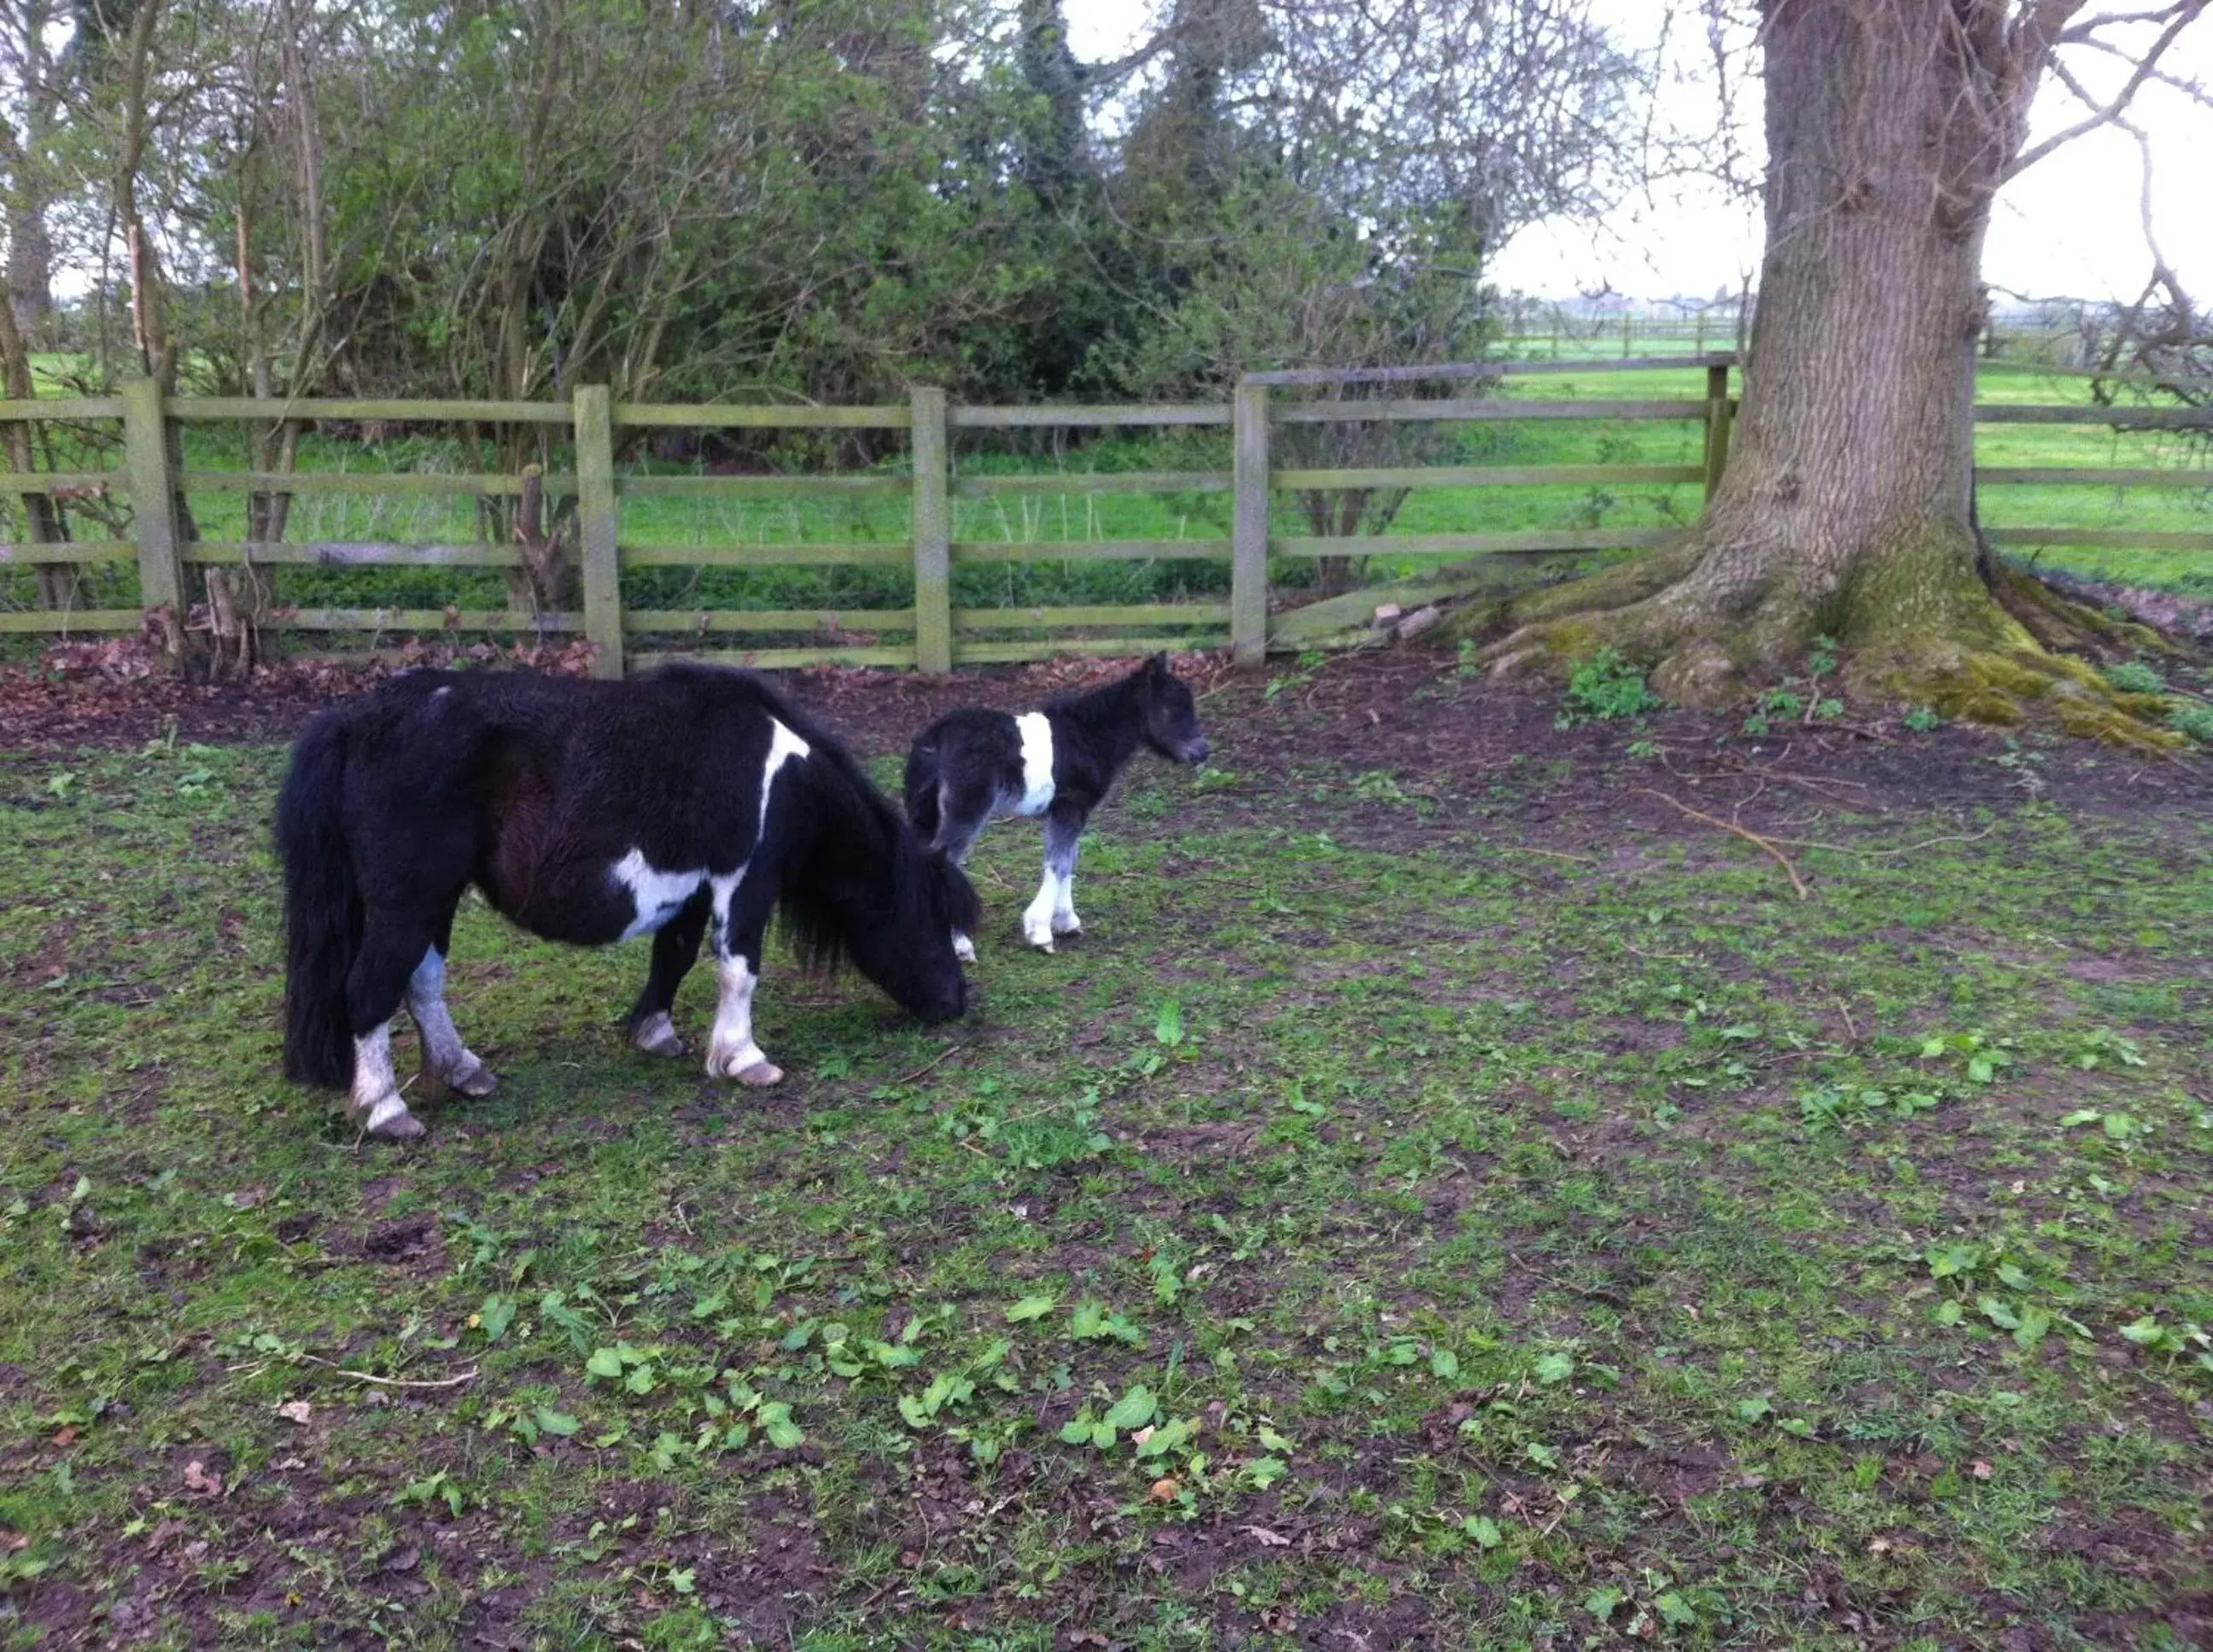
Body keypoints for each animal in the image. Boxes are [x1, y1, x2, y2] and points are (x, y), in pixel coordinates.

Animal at [277, 658, 978, 1141]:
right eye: (935, 918)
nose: (956, 1005)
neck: (783, 773)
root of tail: (357, 723)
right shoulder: (744, 880)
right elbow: (738, 969)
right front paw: (743, 1058)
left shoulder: (694, 889)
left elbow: (675, 957)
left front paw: (655, 1033)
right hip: (409, 900)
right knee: (370, 990)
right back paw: (386, 1111)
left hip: (435, 899)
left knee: (422, 984)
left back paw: (461, 1070)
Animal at [898, 650, 1212, 955]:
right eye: (1172, 708)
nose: (1203, 751)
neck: (1087, 736)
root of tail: (934, 741)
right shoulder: (1071, 807)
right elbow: (1059, 861)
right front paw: (1041, 933)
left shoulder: (1066, 812)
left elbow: (1070, 859)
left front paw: (1066, 922)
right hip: (965, 812)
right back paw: (961, 945)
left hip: (925, 815)